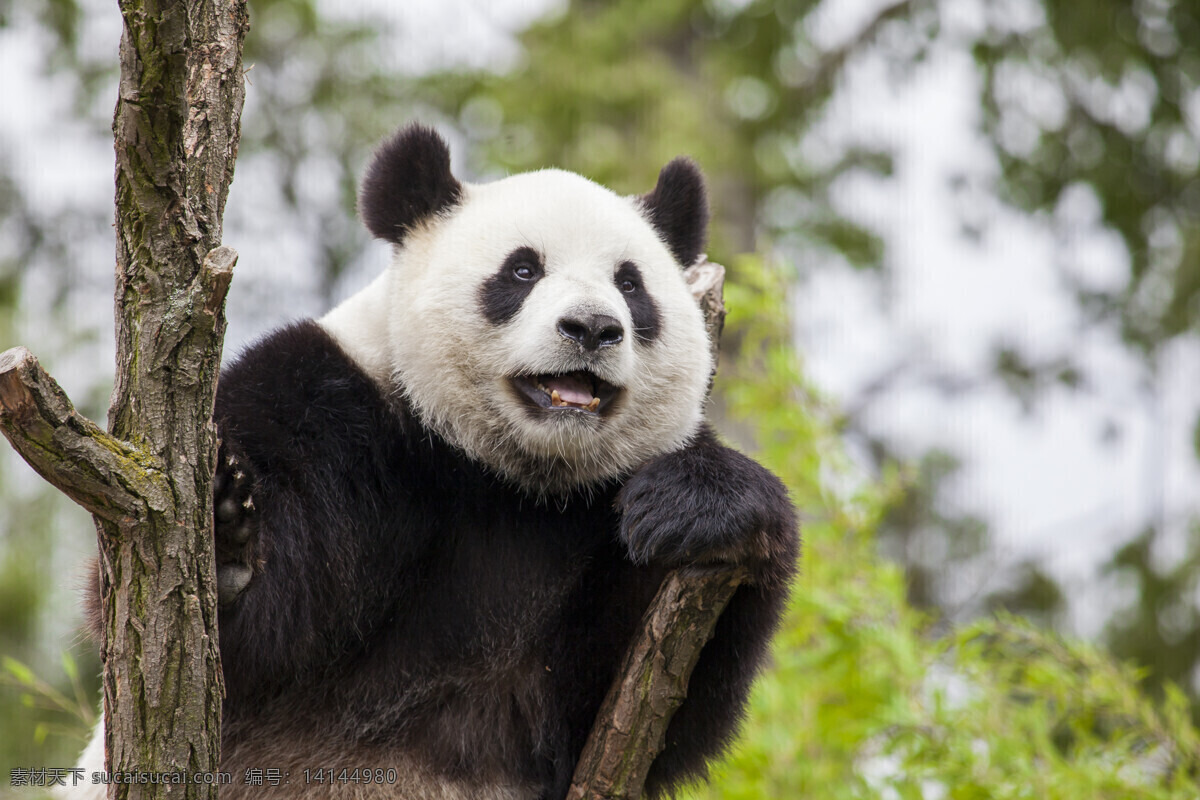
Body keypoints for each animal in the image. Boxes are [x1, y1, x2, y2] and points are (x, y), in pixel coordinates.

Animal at [72, 125, 796, 800]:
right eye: (522, 271)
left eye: (630, 284)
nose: (593, 327)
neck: (513, 476)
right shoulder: (330, 403)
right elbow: (222, 648)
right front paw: (223, 539)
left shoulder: (592, 524)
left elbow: (641, 711)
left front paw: (701, 506)